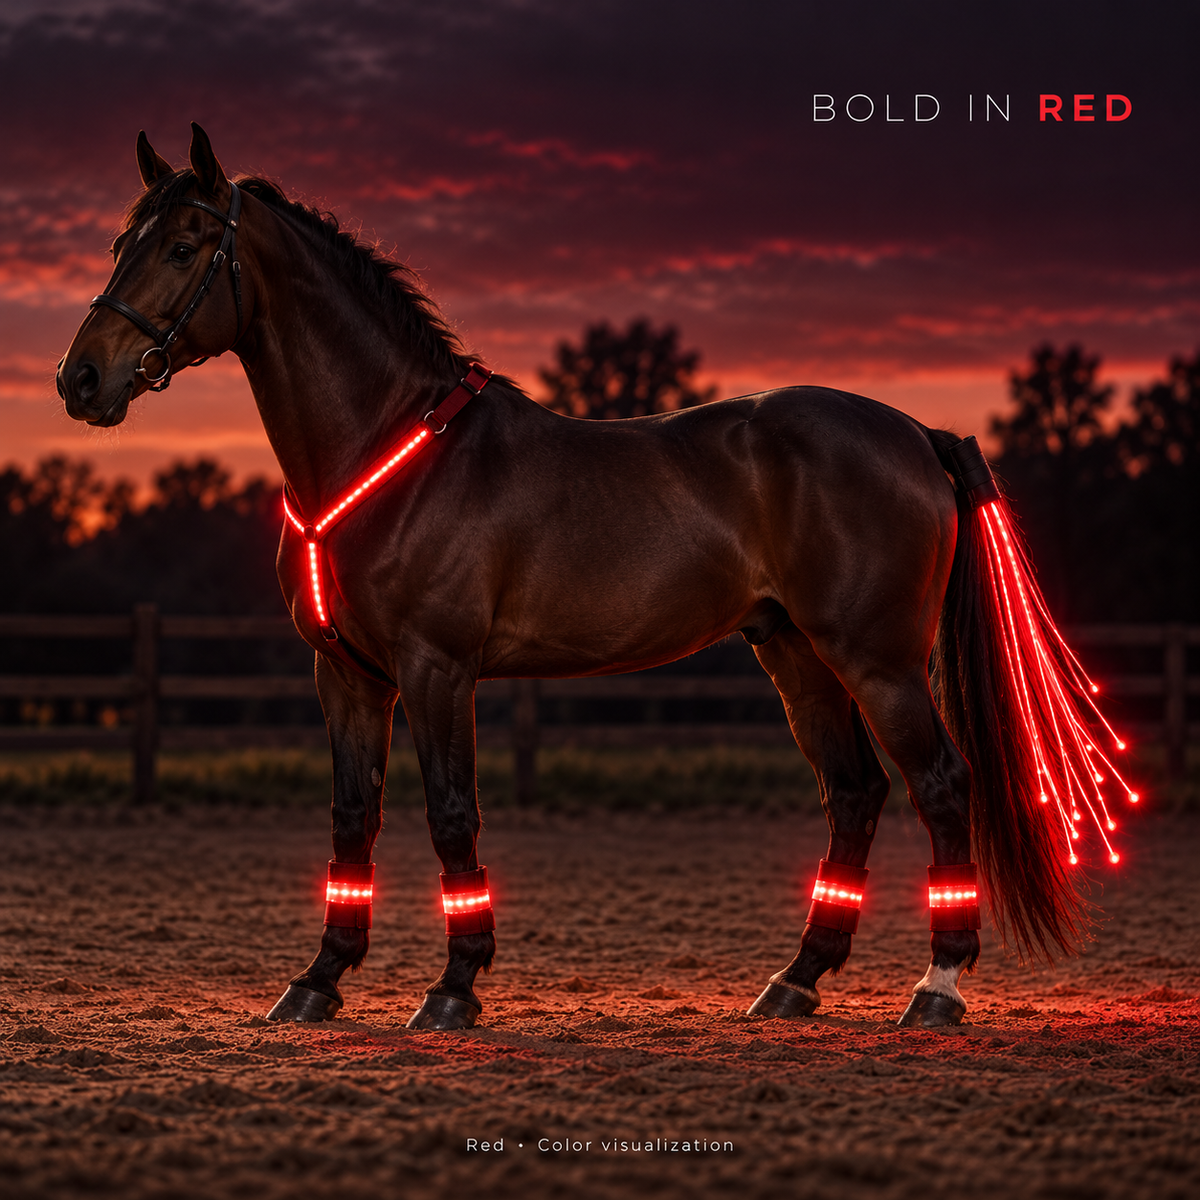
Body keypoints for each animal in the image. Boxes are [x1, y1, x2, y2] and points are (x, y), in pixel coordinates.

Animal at [56, 124, 1135, 1031]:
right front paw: (317, 981)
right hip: (794, 652)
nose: (83, 379)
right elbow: (353, 818)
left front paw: (453, 989)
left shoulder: (438, 669)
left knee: (939, 785)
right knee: (856, 792)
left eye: (187, 245)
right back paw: (794, 982)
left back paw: (936, 989)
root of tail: (914, 432)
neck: (389, 447)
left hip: (878, 661)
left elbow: (451, 814)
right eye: (119, 242)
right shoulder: (348, 675)